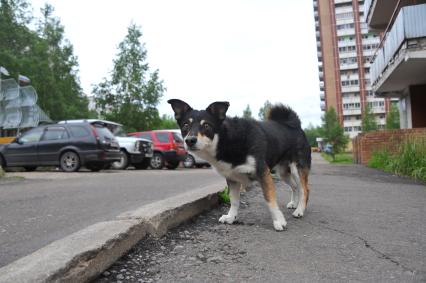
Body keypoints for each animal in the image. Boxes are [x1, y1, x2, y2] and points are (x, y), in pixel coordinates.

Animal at [168, 98, 312, 232]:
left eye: (207, 125)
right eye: (186, 125)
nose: (190, 140)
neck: (227, 140)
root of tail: (295, 125)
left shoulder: (263, 173)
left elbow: (270, 200)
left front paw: (278, 221)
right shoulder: (231, 178)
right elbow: (234, 200)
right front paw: (231, 217)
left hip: (297, 169)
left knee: (304, 190)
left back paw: (300, 210)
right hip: (283, 173)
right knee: (295, 187)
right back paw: (294, 204)